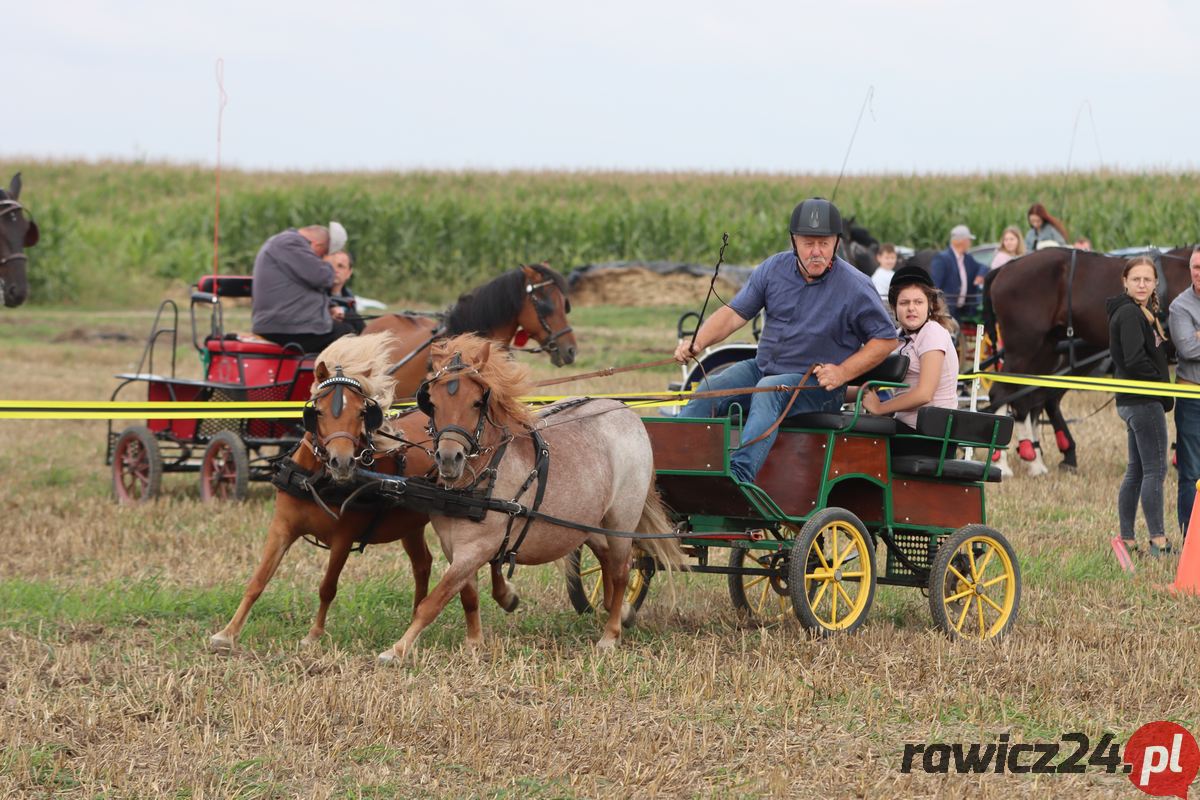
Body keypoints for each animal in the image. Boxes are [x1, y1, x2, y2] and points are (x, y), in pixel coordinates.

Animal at [206, 335, 516, 652]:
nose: (341, 462)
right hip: (411, 525)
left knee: (488, 555)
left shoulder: (343, 538)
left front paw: (313, 635)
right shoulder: (282, 528)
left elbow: (327, 587)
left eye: (362, 412)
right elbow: (258, 580)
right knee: (423, 565)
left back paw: (501, 598)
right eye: (317, 412)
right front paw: (227, 634)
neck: (316, 480)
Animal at [379, 333, 691, 662]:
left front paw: (397, 649)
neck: (474, 485)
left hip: (621, 518)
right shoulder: (454, 548)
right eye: (432, 403)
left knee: (621, 569)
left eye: (477, 402)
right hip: (584, 522)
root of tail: (625, 411)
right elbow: (468, 596)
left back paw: (611, 634)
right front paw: (475, 643)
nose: (450, 459)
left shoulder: (475, 549)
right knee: (606, 558)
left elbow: (434, 601)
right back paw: (615, 610)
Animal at [979, 247, 1195, 474]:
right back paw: (1002, 463)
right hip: (1023, 348)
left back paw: (1036, 461)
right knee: (1003, 394)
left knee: (1028, 399)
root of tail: (1007, 267)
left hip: (1045, 351)